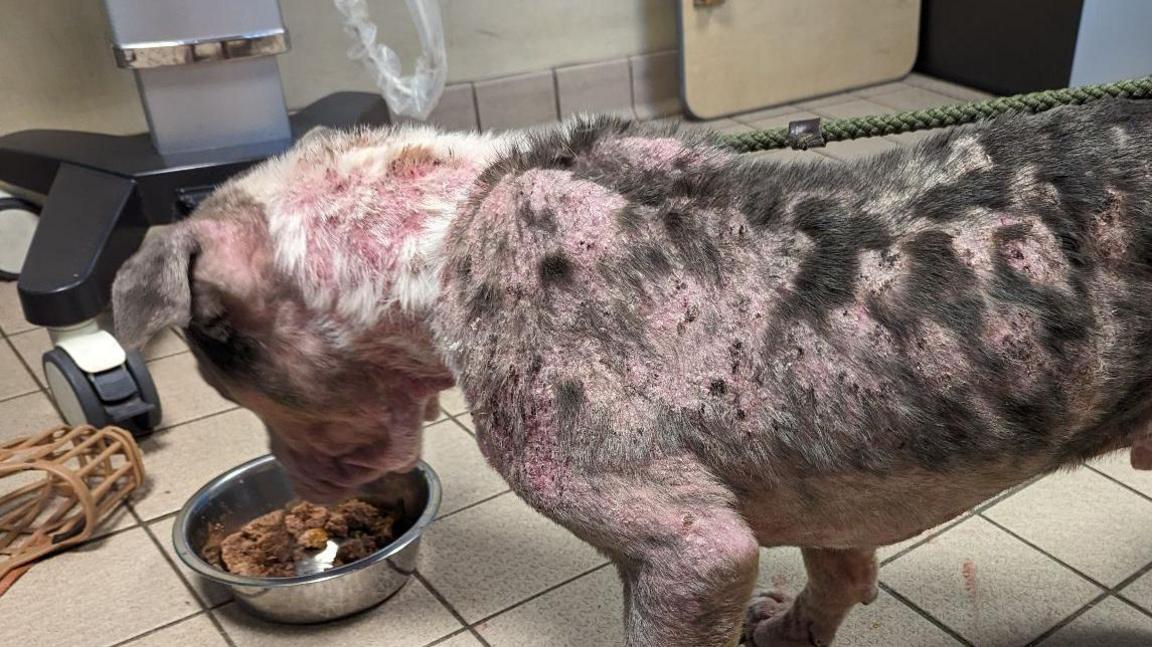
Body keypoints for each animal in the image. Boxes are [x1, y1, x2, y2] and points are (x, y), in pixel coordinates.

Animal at [114, 98, 1152, 640]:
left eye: (231, 381)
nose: (301, 484)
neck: (445, 235)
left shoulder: (688, 553)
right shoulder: (835, 497)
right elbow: (840, 571)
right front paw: (792, 627)